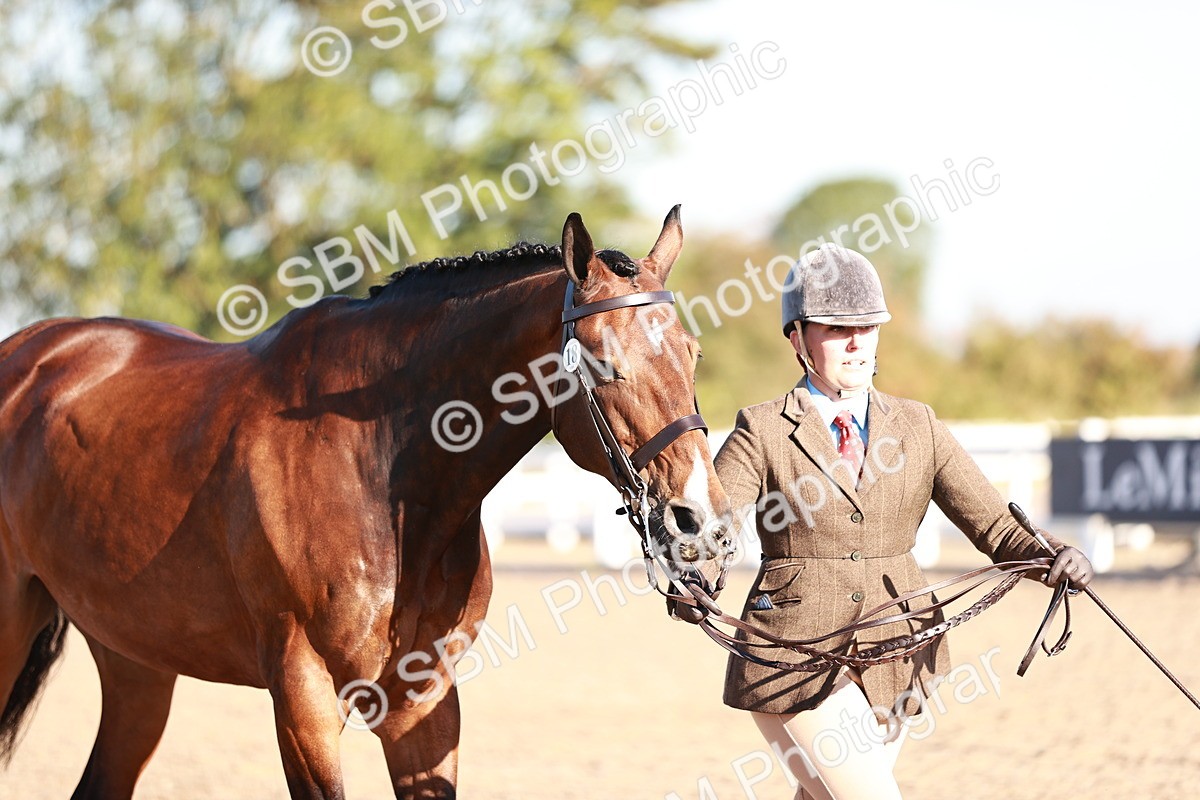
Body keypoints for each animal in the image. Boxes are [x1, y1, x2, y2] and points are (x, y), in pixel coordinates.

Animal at [0, 207, 734, 798]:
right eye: (603, 362)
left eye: (694, 354)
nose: (700, 519)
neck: (383, 473)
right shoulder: (303, 696)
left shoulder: (422, 700)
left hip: (135, 660)